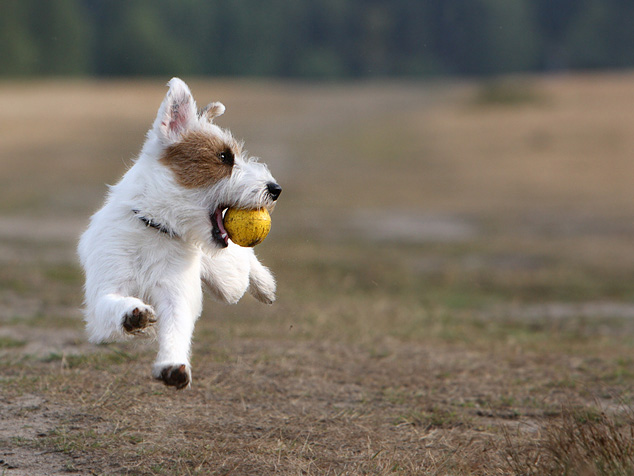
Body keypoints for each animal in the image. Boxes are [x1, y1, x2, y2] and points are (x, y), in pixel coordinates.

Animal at [78, 78, 280, 388]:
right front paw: (132, 316)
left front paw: (172, 365)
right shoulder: (103, 297)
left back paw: (265, 286)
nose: (275, 188)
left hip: (228, 281)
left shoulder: (176, 296)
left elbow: (176, 329)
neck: (156, 227)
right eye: (224, 157)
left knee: (243, 259)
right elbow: (111, 305)